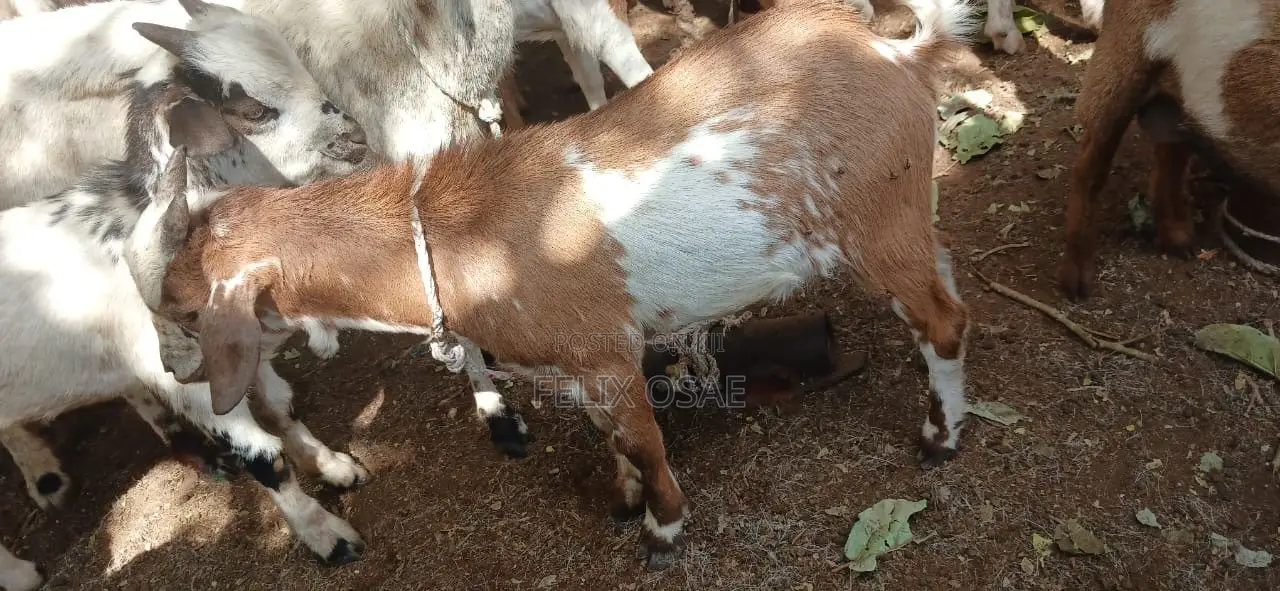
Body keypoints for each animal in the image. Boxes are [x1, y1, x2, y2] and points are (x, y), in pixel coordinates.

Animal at [0, 0, 372, 564]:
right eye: (255, 110)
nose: (355, 136)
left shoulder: (241, 350)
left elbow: (281, 407)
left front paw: (331, 465)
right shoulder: (188, 379)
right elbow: (263, 457)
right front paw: (326, 535)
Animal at [127, 0, 979, 569]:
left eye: (187, 308)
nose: (171, 372)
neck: (454, 231)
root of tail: (903, 57)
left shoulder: (606, 355)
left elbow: (645, 441)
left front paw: (662, 529)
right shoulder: (574, 369)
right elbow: (614, 441)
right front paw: (624, 497)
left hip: (875, 227)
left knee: (943, 322)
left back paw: (939, 438)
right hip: (909, 214)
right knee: (947, 280)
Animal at [1058, 0, 1280, 299]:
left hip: (1183, 99)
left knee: (1170, 154)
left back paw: (1179, 241)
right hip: (1121, 63)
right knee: (1091, 166)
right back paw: (1077, 280)